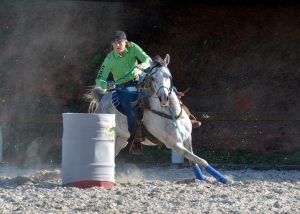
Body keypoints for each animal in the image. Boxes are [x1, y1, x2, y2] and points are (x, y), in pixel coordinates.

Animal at [85, 54, 226, 183]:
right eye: (152, 78)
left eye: (168, 76)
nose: (164, 97)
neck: (170, 114)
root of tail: (103, 97)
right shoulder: (174, 144)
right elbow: (200, 160)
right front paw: (222, 178)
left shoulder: (187, 138)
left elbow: (194, 161)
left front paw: (203, 178)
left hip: (121, 139)